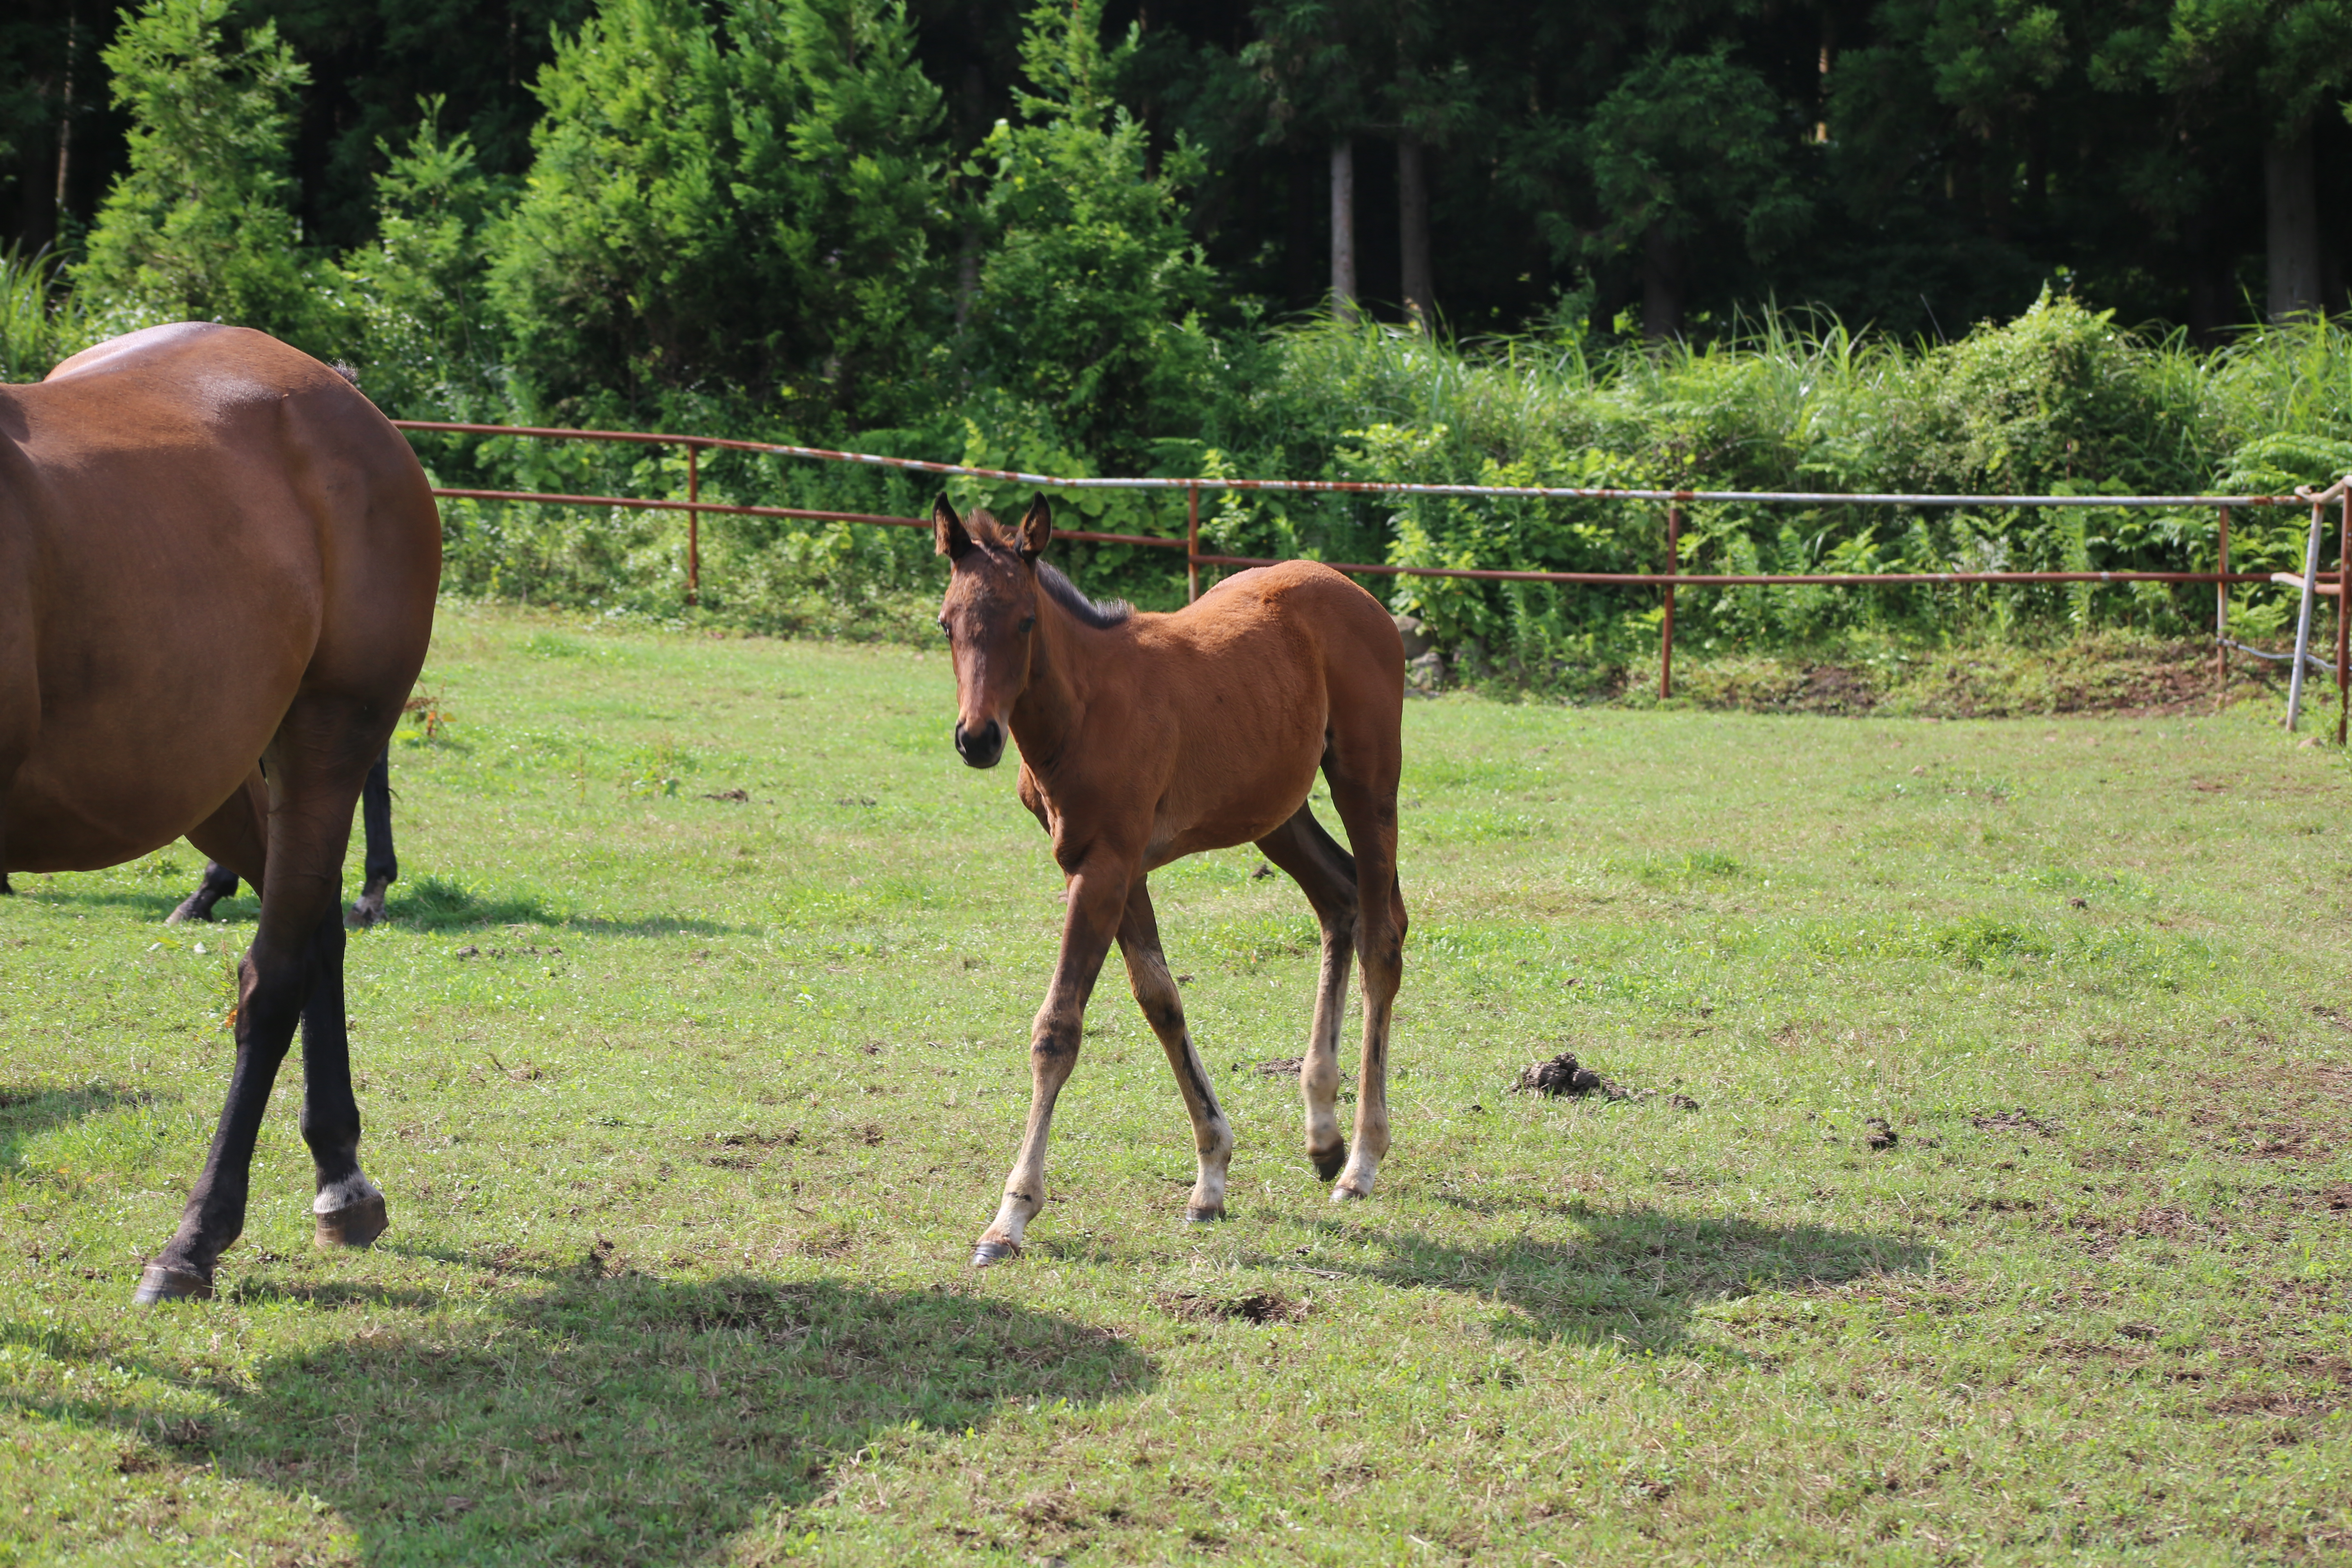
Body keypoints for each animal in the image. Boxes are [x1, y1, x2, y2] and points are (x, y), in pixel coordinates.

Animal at [936, 496, 1401, 1269]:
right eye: (947, 621)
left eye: (1025, 621)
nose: (978, 739)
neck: (1084, 709)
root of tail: (1355, 592)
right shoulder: (1109, 867)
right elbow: (1161, 1000)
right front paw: (1211, 1176)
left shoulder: (1105, 867)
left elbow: (1058, 1029)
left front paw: (1011, 1216)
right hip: (1275, 809)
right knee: (1340, 900)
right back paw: (1324, 1133)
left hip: (1366, 780)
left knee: (1382, 937)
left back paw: (1362, 1160)